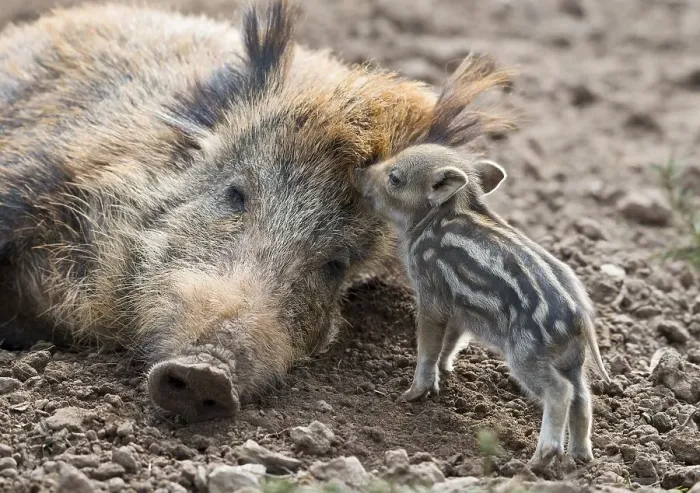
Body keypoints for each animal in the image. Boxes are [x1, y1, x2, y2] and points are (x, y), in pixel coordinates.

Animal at [355, 144, 611, 466]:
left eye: (395, 178)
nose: (359, 172)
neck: (434, 219)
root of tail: (579, 315)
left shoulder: (431, 294)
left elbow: (428, 346)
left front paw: (413, 393)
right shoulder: (459, 311)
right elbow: (450, 342)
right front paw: (444, 373)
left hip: (527, 356)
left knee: (560, 392)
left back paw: (539, 460)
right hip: (572, 360)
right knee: (582, 397)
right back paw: (580, 456)